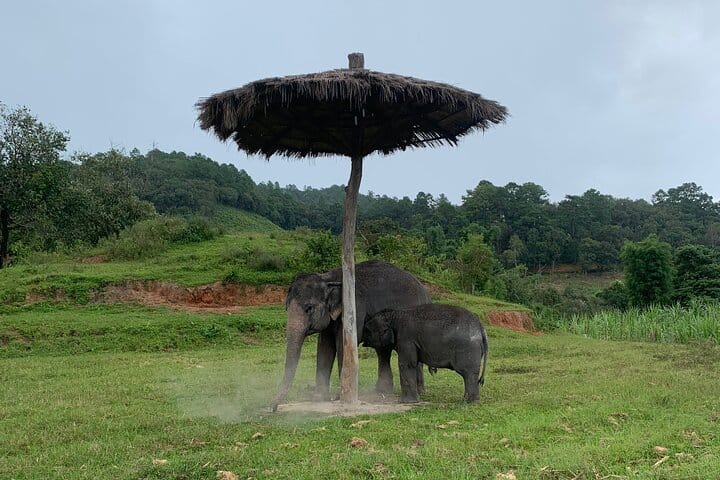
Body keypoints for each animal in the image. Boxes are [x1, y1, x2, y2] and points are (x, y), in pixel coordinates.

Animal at [271, 260, 431, 411]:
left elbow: (341, 345)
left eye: (309, 308)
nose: (273, 407)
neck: (329, 277)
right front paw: (319, 398)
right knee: (383, 351)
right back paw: (381, 391)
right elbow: (324, 347)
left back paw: (419, 391)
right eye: (286, 307)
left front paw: (338, 397)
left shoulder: (354, 309)